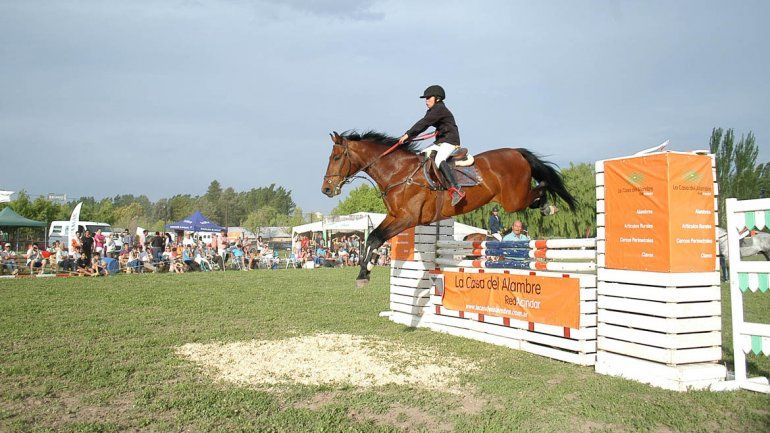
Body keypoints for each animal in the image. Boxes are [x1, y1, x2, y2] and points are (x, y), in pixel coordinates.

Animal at [322, 131, 576, 287]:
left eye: (336, 158)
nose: (326, 189)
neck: (399, 172)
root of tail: (516, 151)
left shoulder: (407, 218)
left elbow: (375, 238)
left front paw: (365, 272)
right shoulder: (395, 216)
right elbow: (372, 237)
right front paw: (365, 270)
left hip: (514, 200)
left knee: (541, 187)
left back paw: (549, 207)